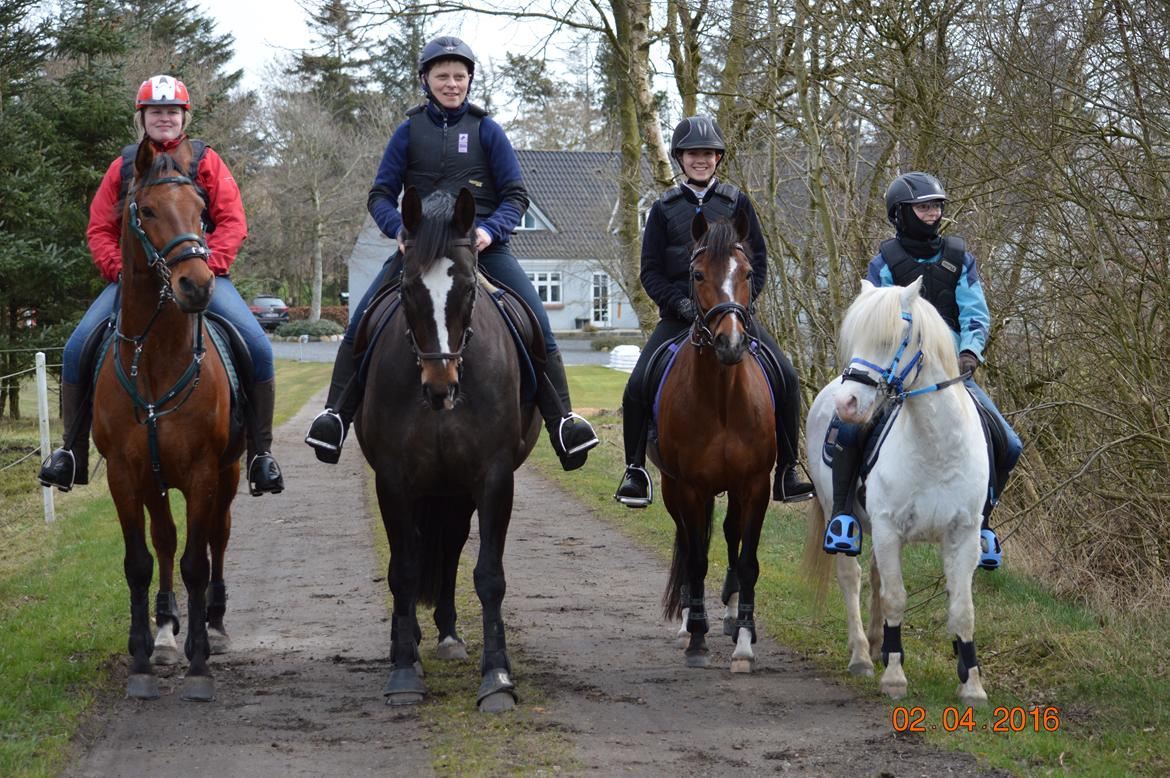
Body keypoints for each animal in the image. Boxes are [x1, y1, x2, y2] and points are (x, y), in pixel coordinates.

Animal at [90, 136, 242, 701]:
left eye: (202, 210)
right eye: (148, 210)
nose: (196, 285)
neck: (154, 359)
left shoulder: (202, 472)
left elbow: (197, 563)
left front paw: (199, 666)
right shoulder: (124, 475)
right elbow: (140, 562)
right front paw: (141, 660)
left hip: (229, 473)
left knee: (217, 536)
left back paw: (213, 626)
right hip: (156, 482)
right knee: (166, 538)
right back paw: (165, 632)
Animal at [353, 187, 540, 711]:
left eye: (469, 290)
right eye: (407, 289)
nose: (441, 386)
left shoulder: (493, 478)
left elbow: (488, 574)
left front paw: (497, 678)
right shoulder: (393, 479)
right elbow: (403, 569)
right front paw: (402, 671)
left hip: (454, 490)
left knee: (453, 544)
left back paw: (450, 636)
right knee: (420, 550)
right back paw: (414, 642)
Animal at [650, 209, 776, 669]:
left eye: (748, 272)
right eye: (698, 274)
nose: (731, 343)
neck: (722, 398)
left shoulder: (755, 486)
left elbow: (748, 560)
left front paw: (745, 640)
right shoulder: (689, 488)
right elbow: (698, 559)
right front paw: (698, 639)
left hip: (734, 491)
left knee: (728, 535)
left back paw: (728, 614)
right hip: (675, 490)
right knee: (692, 547)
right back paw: (691, 622)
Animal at [804, 279, 987, 701]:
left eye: (889, 341)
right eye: (854, 338)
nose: (848, 403)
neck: (935, 446)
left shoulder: (963, 534)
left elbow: (962, 608)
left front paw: (971, 683)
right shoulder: (889, 528)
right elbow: (896, 598)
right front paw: (894, 677)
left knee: (873, 576)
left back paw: (877, 645)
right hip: (845, 513)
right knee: (851, 576)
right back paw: (861, 655)